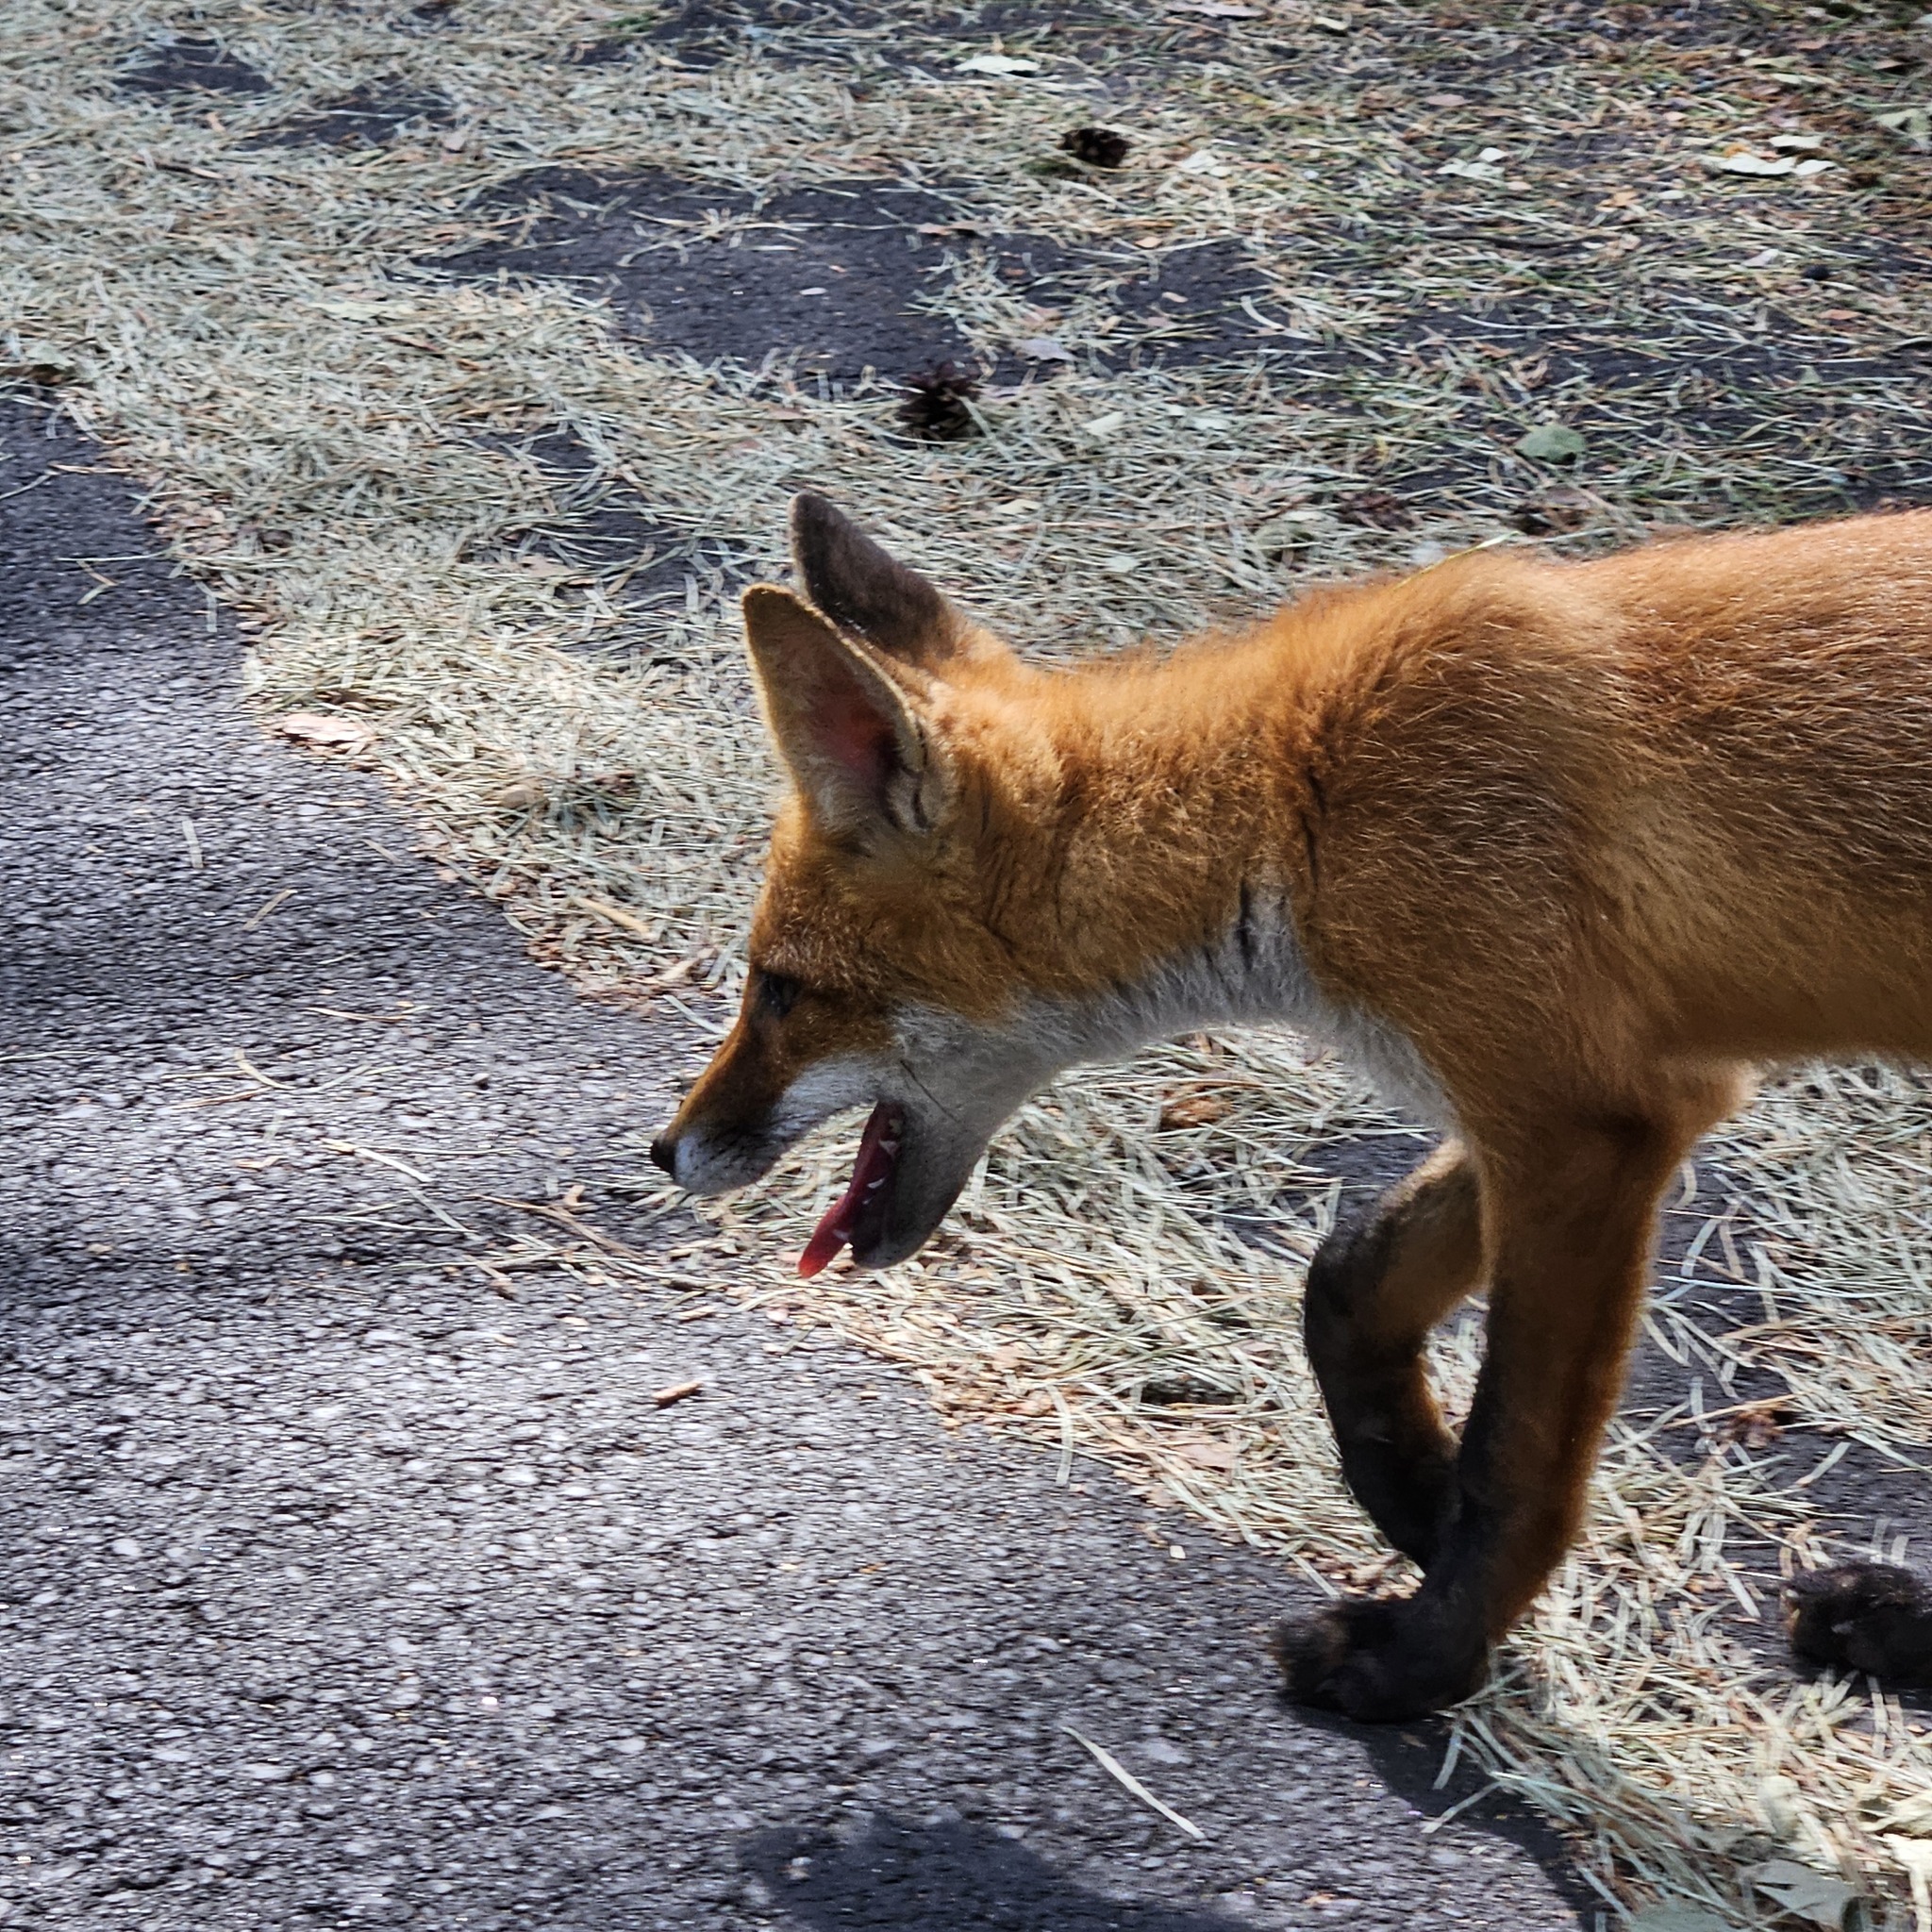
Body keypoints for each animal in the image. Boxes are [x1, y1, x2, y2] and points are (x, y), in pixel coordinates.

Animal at [653, 494, 1932, 1723]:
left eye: (778, 988)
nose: (666, 1150)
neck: (1299, 802)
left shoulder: (1582, 1123)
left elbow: (1516, 1459)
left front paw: (1421, 1664)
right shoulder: (1570, 1103)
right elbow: (1345, 1279)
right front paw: (1412, 1496)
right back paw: (1891, 1619)